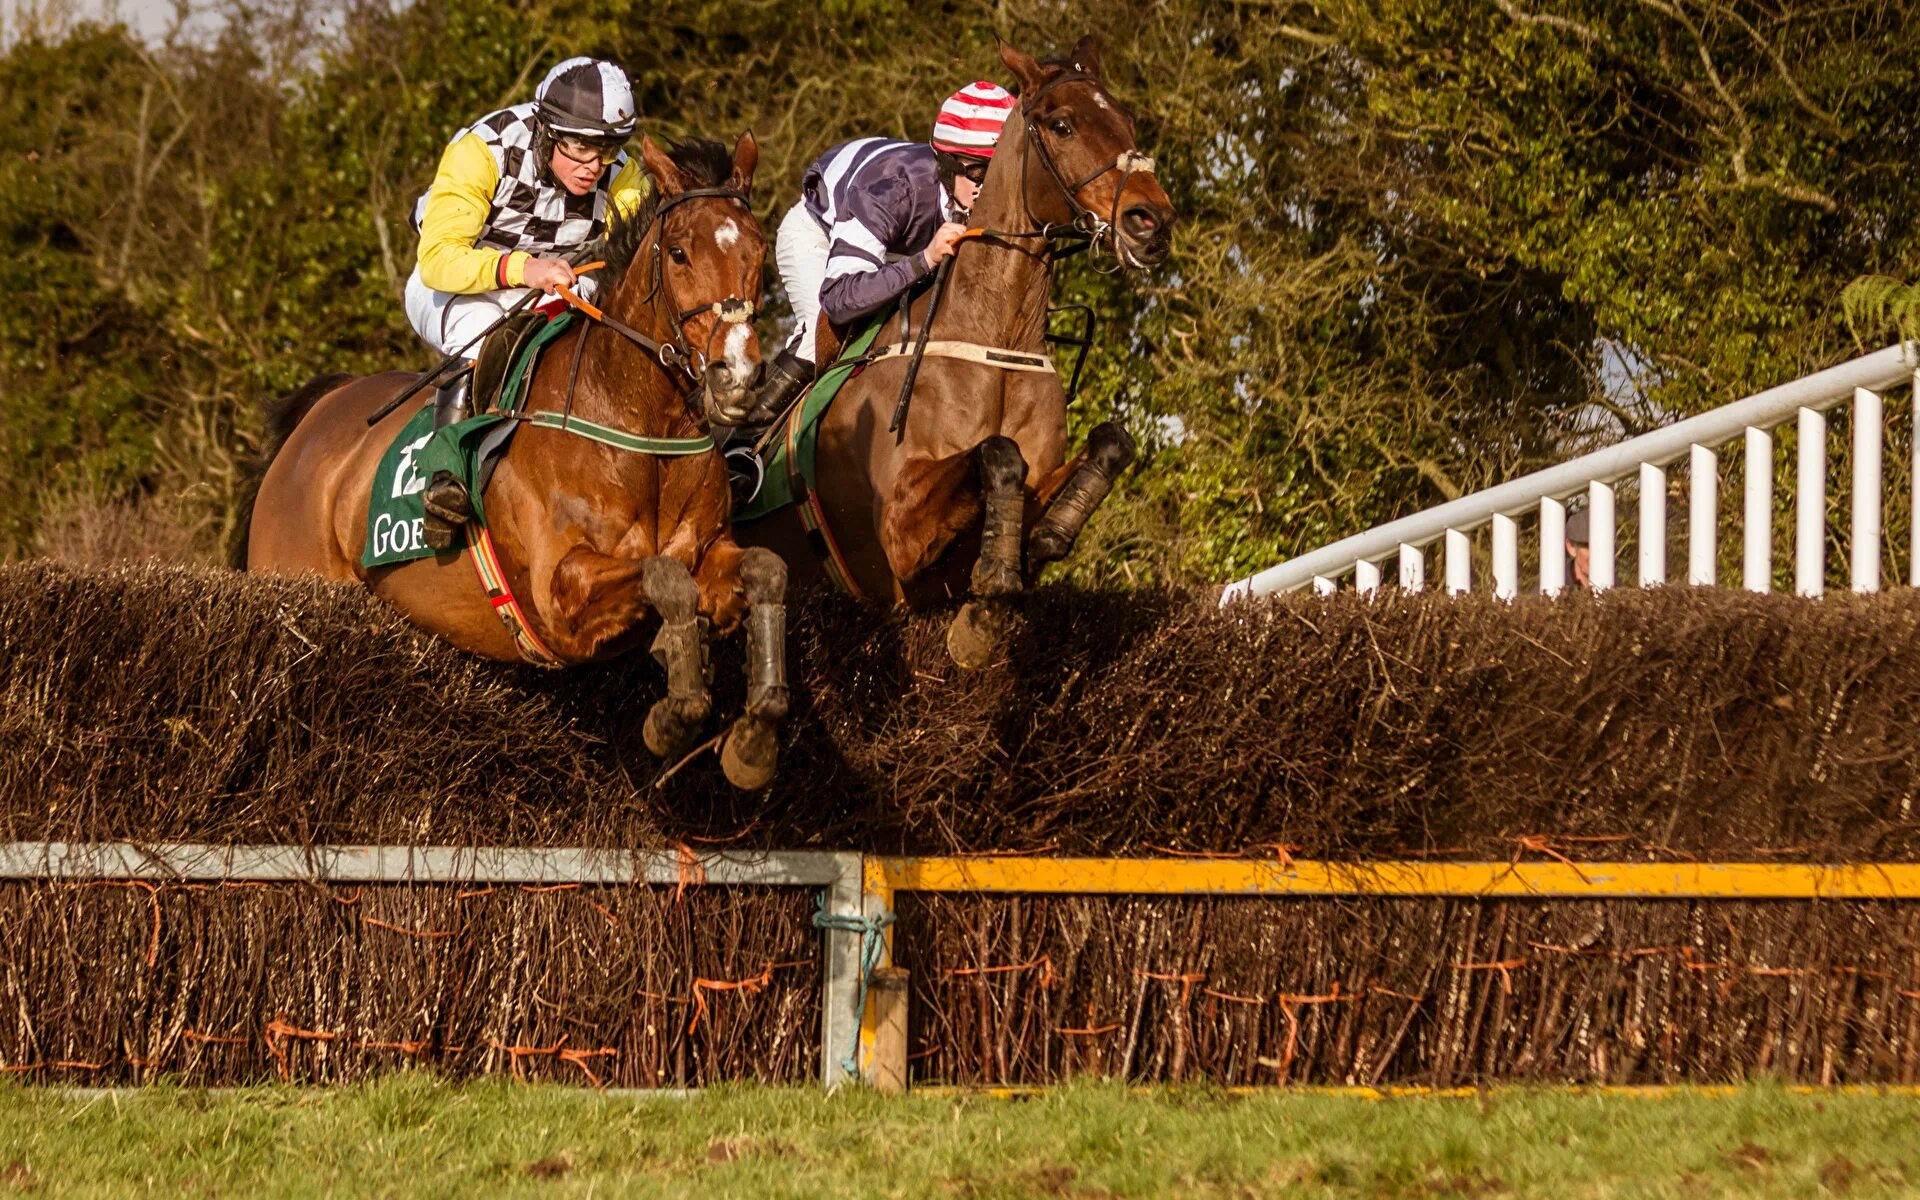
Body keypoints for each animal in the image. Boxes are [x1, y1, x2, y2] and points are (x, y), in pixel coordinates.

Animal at [236, 133, 791, 787]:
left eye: (759, 250)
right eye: (679, 252)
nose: (739, 376)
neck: (636, 424)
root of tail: (315, 419)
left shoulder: (712, 553)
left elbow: (765, 571)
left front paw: (753, 737)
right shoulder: (561, 595)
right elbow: (668, 579)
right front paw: (674, 715)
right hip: (296, 576)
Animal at [737, 37, 1175, 668]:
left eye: (1128, 121)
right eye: (1062, 124)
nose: (1152, 220)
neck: (995, 334)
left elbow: (1108, 444)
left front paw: (1039, 543)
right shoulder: (900, 535)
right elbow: (997, 451)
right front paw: (988, 601)